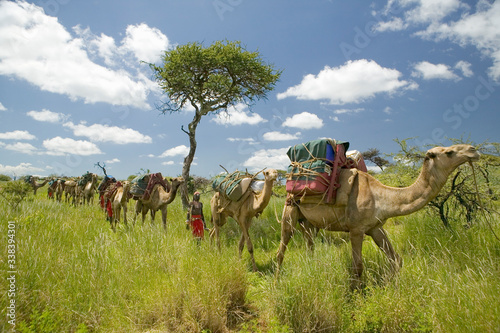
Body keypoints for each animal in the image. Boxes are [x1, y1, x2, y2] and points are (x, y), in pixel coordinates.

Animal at [278, 144, 480, 286]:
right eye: (449, 152)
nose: (473, 150)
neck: (380, 197)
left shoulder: (376, 227)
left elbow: (396, 259)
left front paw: (393, 285)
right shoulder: (356, 229)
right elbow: (358, 267)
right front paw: (356, 295)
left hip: (309, 222)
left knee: (309, 245)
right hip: (290, 210)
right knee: (283, 244)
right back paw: (277, 276)